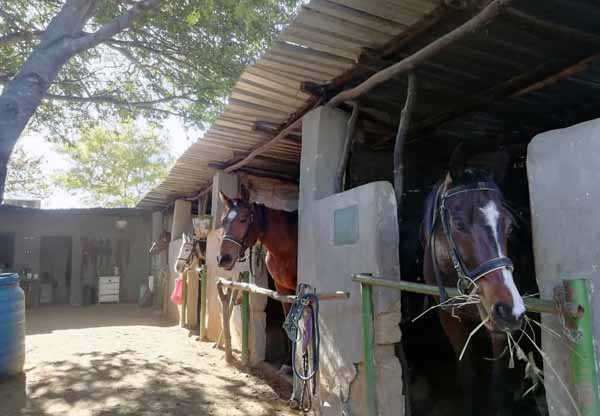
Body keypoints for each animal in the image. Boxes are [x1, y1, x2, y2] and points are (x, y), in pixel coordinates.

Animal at [422, 145, 524, 416]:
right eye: (458, 224)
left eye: (510, 227)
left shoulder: (498, 329)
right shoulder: (450, 319)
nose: (510, 309)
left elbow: (499, 384)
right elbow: (468, 377)